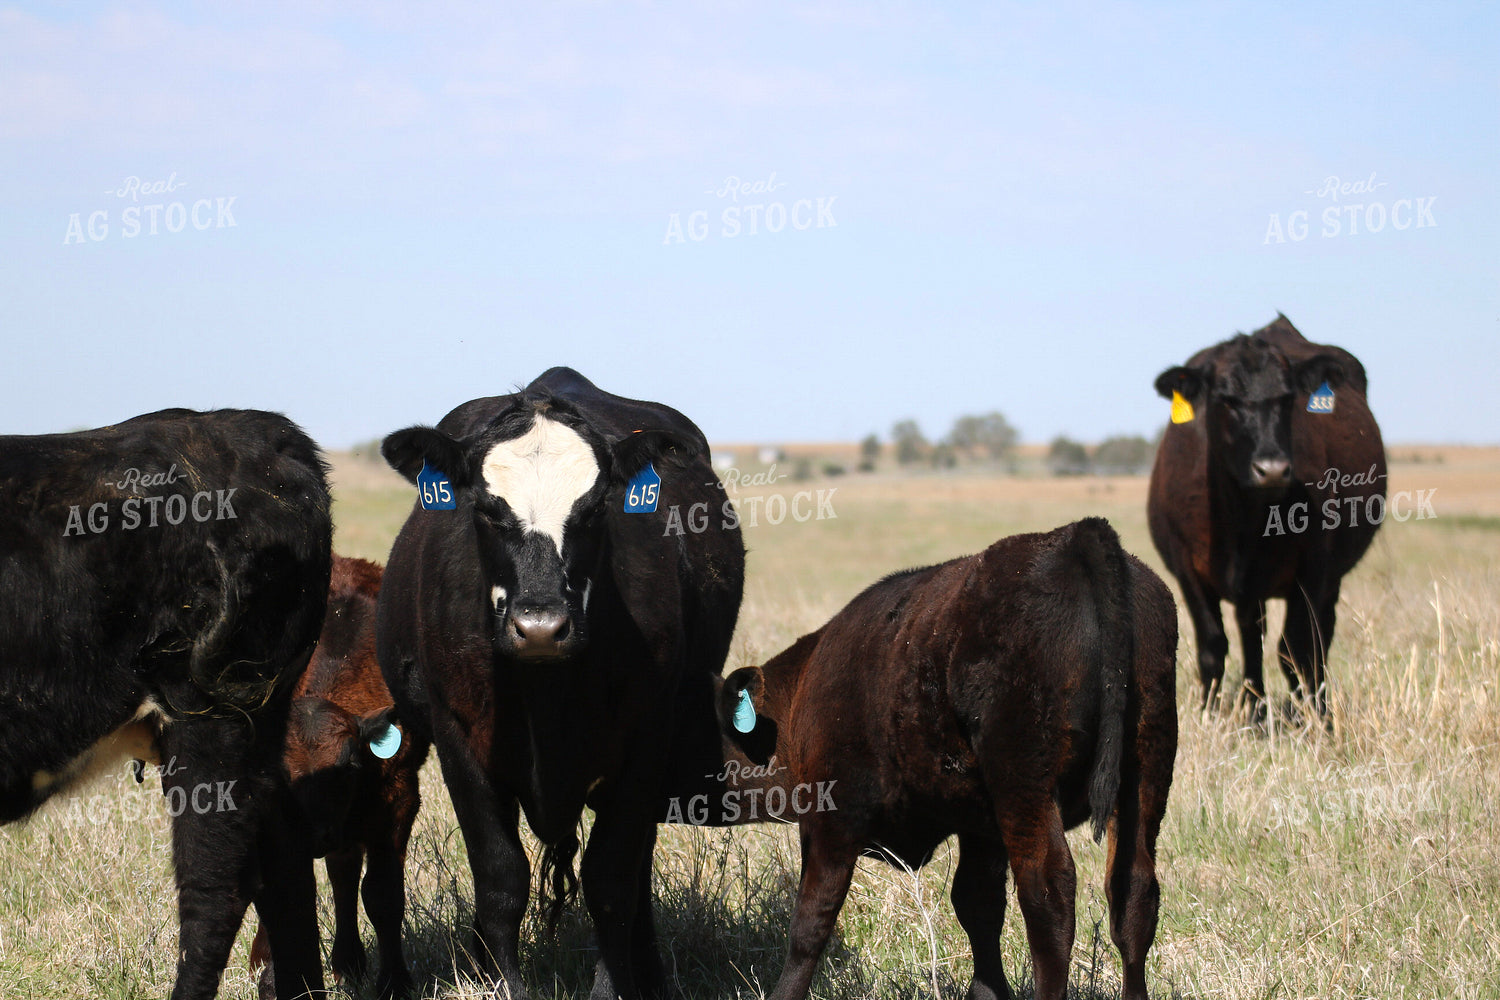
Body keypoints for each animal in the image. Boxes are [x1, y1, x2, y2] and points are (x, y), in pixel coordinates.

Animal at [248, 554, 424, 1000]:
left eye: (350, 767)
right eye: (281, 777)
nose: (317, 835)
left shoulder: (398, 797)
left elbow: (382, 893)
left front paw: (395, 982)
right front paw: (275, 978)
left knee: (344, 871)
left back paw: (348, 962)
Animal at [377, 367, 744, 1000]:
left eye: (596, 508)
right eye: (486, 508)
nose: (541, 628)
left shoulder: (647, 741)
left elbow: (612, 883)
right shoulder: (458, 739)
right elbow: (501, 879)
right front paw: (500, 982)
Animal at [690, 518, 1178, 1000]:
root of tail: (1074, 537)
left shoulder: (834, 817)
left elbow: (812, 918)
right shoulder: (981, 827)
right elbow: (978, 906)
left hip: (1026, 781)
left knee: (1049, 892)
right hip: (1145, 769)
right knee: (1134, 889)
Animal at [1149, 314, 1385, 719]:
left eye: (1289, 398)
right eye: (1225, 399)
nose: (1272, 469)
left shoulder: (1314, 567)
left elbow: (1297, 649)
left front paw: (1316, 720)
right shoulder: (1187, 568)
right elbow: (1213, 646)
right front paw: (1212, 714)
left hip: (1330, 577)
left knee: (1318, 636)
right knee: (1251, 635)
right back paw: (1255, 707)